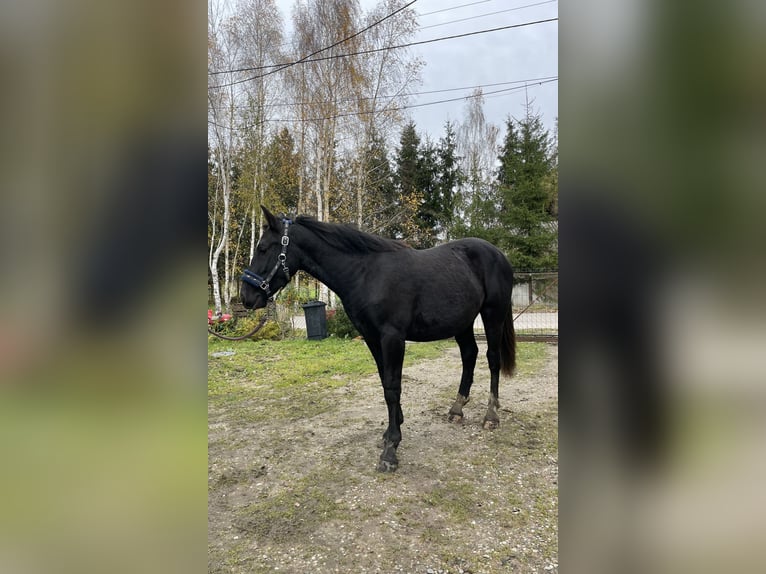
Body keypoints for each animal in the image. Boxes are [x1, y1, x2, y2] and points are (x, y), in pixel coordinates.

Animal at [241, 206, 516, 472]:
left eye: (263, 248)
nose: (246, 296)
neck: (366, 274)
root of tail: (498, 254)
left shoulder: (392, 338)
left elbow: (393, 387)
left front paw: (391, 449)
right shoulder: (372, 338)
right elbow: (385, 383)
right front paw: (391, 430)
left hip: (492, 315)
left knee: (492, 359)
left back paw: (491, 416)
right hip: (463, 322)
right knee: (469, 355)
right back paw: (457, 409)